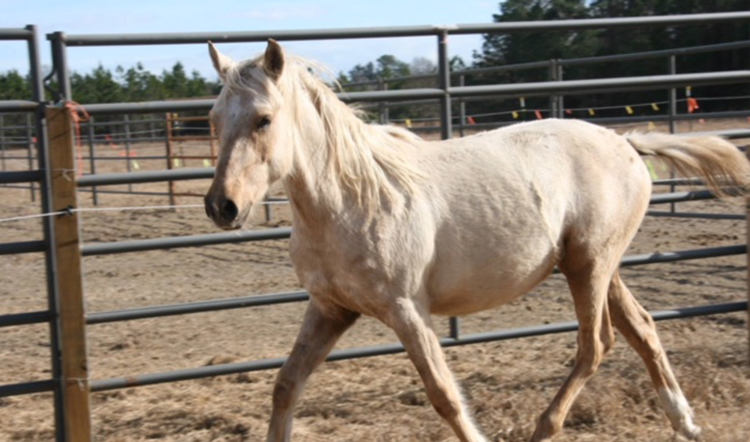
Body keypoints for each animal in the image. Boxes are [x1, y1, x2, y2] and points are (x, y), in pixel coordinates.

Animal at [206, 39, 750, 440]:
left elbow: (444, 396)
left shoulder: (407, 310)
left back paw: (544, 428)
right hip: (595, 265)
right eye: (213, 120)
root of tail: (626, 142)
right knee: (643, 329)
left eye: (264, 119)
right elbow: (285, 385)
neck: (351, 198)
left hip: (590, 266)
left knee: (596, 344)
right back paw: (685, 423)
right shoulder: (330, 309)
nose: (221, 206)